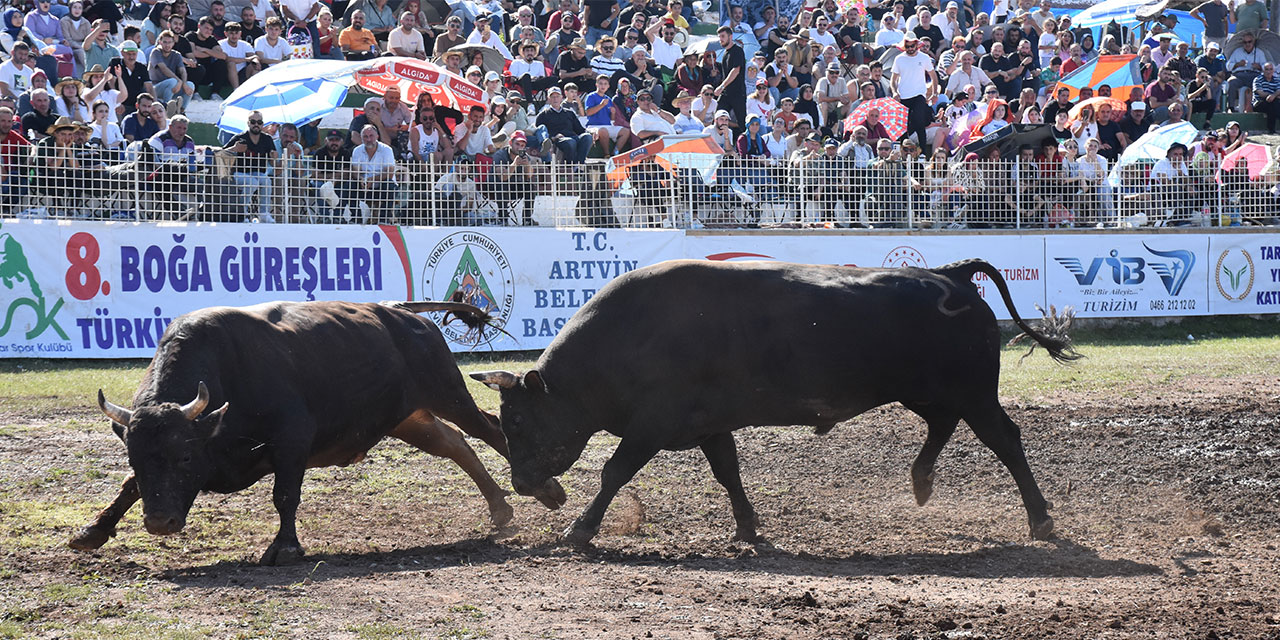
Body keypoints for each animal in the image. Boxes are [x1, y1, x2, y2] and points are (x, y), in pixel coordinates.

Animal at [72, 300, 565, 565]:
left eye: (186, 457)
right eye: (138, 457)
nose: (160, 523)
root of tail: (402, 312)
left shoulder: (291, 439)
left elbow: (285, 494)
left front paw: (285, 547)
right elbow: (128, 487)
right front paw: (93, 530)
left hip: (448, 393)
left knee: (490, 430)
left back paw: (546, 490)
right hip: (409, 418)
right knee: (456, 444)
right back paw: (500, 508)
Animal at [478, 258, 1080, 545]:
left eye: (518, 420)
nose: (522, 484)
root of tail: (950, 277)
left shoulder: (651, 425)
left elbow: (614, 472)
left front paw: (580, 529)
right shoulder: (708, 425)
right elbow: (729, 473)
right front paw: (747, 527)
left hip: (973, 394)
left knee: (1005, 440)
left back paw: (1040, 518)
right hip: (931, 393)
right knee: (942, 426)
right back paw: (921, 481)